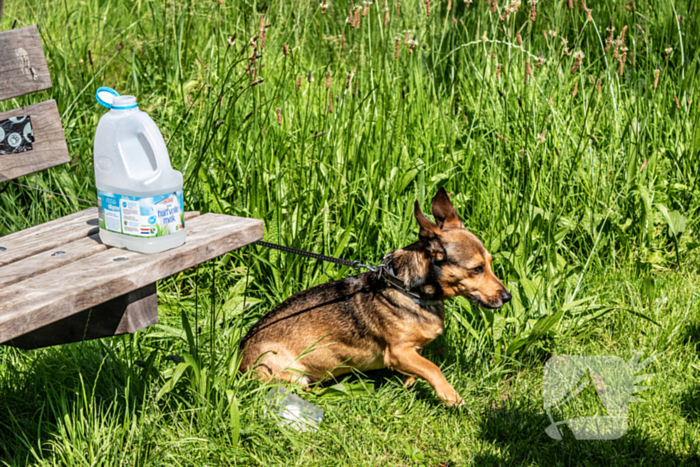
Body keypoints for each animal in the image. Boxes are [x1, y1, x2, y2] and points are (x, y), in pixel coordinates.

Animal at [239, 189, 508, 406]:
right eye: (477, 269)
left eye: (490, 263)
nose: (507, 297)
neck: (410, 291)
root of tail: (239, 361)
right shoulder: (398, 352)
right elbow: (432, 368)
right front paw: (449, 395)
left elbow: (418, 369)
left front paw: (409, 383)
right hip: (285, 370)